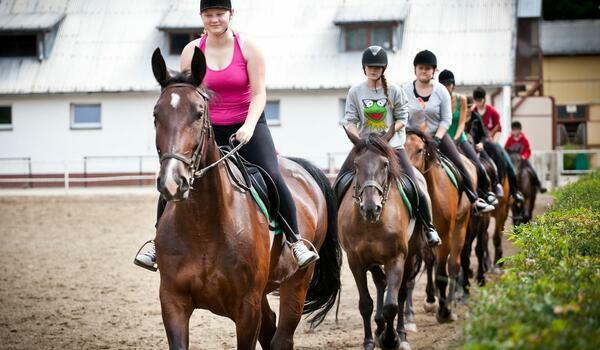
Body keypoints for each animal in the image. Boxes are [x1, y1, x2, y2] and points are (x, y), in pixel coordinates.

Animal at [149, 47, 340, 350]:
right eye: (156, 114)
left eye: (199, 113)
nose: (172, 181)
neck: (202, 226)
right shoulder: (172, 302)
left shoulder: (246, 308)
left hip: (297, 281)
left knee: (282, 337)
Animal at [338, 128, 418, 350]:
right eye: (357, 164)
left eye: (385, 164)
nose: (370, 208)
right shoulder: (356, 261)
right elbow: (365, 304)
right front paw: (370, 341)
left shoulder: (396, 258)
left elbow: (392, 304)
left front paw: (390, 339)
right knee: (380, 282)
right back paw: (379, 325)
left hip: (410, 254)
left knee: (401, 292)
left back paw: (401, 334)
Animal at [404, 130, 474, 324]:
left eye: (420, 150)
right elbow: (428, 262)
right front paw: (430, 301)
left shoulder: (446, 234)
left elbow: (442, 271)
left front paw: (444, 311)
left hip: (461, 225)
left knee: (454, 264)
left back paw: (451, 302)